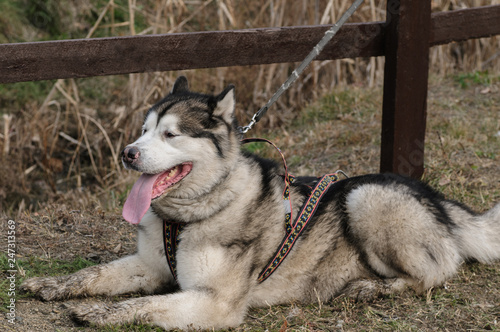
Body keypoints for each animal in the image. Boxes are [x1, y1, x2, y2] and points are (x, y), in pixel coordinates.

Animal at [22, 77, 500, 330]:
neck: (191, 212)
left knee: (434, 274)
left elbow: (143, 305)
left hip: (367, 196)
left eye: (170, 135)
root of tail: (439, 197)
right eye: (143, 130)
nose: (127, 153)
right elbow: (95, 273)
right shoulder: (151, 264)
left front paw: (98, 311)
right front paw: (52, 285)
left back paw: (371, 288)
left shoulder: (215, 302)